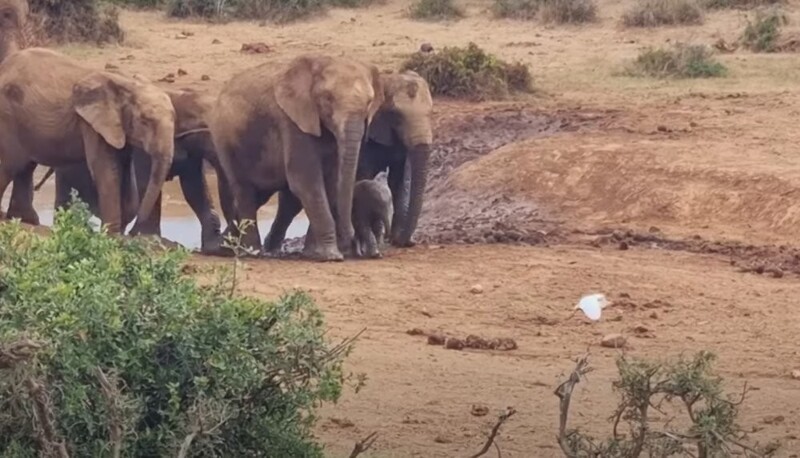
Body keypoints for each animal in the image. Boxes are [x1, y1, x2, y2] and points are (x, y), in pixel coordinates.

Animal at [0, 0, 173, 234]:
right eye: (146, 121)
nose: (132, 233)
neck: (126, 83)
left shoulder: (116, 127)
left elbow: (125, 171)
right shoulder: (91, 125)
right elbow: (106, 170)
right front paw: (111, 236)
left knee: (25, 165)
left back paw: (26, 220)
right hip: (7, 115)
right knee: (10, 163)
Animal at [26, 86, 233, 254]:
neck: (183, 97)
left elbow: (194, 189)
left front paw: (212, 248)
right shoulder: (143, 149)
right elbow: (146, 184)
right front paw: (149, 239)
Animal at [209, 53, 384, 262]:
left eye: (369, 102)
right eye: (327, 99)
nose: (351, 246)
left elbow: (331, 183)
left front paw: (313, 253)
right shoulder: (292, 121)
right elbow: (307, 183)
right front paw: (331, 256)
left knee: (273, 199)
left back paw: (232, 248)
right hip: (226, 140)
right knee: (245, 192)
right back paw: (252, 252)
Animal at [262, 70, 432, 252]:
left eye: (430, 113)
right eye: (396, 115)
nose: (404, 241)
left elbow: (399, 181)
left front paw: (397, 240)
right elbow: (363, 178)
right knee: (292, 201)